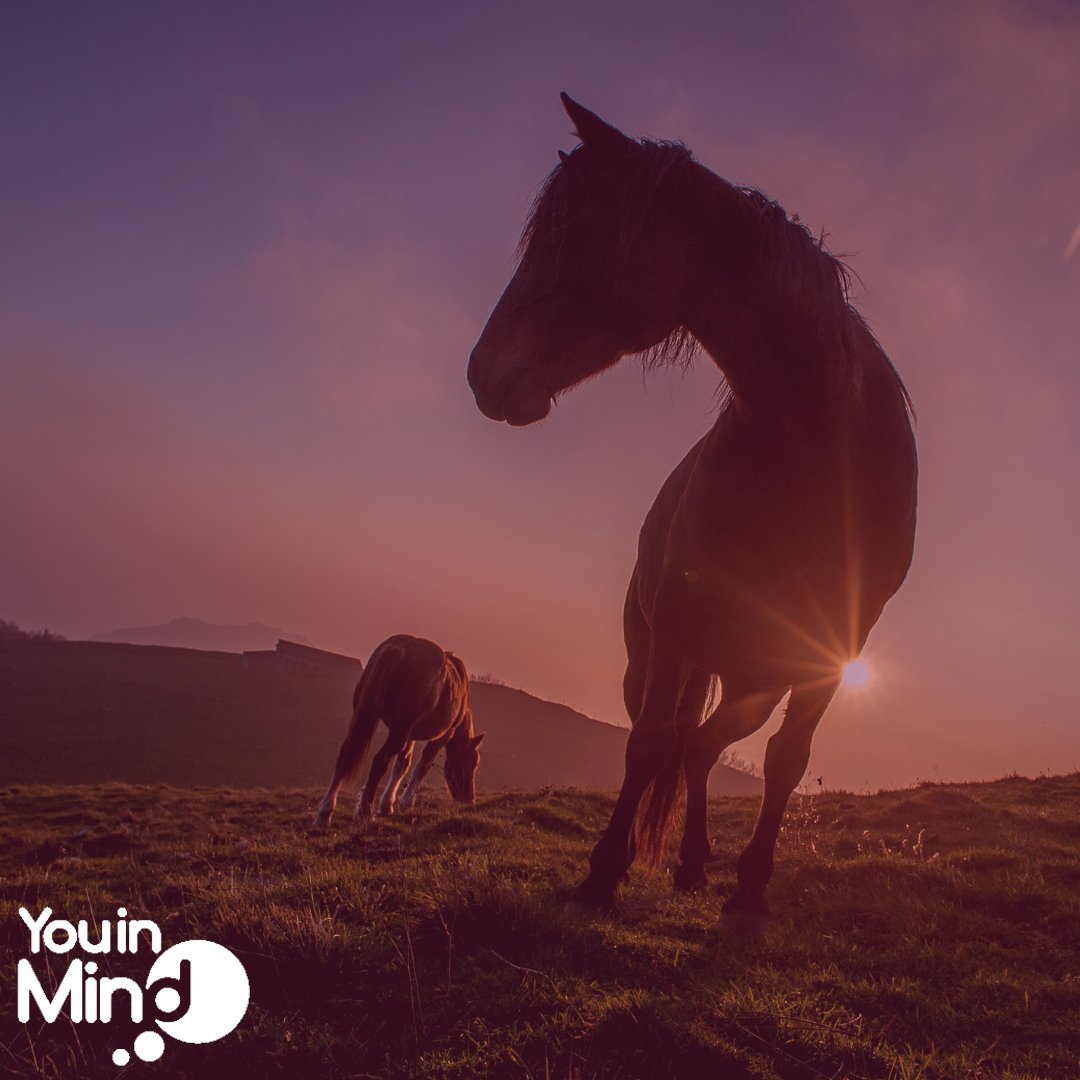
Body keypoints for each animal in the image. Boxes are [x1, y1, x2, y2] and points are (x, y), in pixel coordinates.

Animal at [311, 630, 483, 825]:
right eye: (474, 763)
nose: (469, 799)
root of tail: (400, 649)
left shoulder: (410, 735)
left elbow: (402, 764)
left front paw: (387, 805)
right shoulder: (442, 736)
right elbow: (422, 766)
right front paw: (405, 802)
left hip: (367, 716)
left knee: (344, 756)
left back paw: (325, 813)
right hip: (399, 732)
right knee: (380, 760)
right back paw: (364, 811)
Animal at [468, 95, 915, 928]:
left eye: (574, 228)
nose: (483, 372)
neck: (810, 441)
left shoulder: (833, 649)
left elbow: (784, 761)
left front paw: (752, 887)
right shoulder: (678, 619)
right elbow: (648, 746)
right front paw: (602, 874)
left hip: (753, 680)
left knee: (706, 745)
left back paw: (698, 862)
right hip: (659, 655)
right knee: (677, 740)